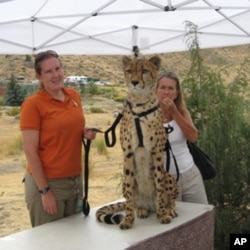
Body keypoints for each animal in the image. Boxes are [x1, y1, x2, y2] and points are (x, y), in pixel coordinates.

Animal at [94, 55, 179, 229]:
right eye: (129, 71)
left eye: (144, 70)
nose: (134, 82)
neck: (140, 106)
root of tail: (149, 204)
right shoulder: (127, 153)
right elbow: (128, 198)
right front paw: (127, 220)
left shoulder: (156, 152)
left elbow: (160, 187)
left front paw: (163, 214)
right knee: (133, 200)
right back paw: (141, 210)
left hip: (168, 175)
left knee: (171, 197)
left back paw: (169, 208)